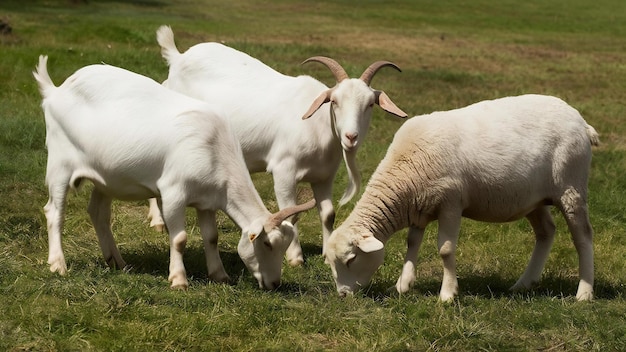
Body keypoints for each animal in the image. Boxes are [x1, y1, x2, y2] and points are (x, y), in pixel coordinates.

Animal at [32, 55, 314, 290]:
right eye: (267, 243)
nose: (274, 283)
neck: (214, 146)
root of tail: (55, 90)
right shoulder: (173, 192)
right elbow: (178, 239)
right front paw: (179, 279)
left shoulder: (207, 200)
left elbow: (211, 237)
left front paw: (220, 275)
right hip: (59, 163)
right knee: (54, 212)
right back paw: (58, 264)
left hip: (106, 178)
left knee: (98, 213)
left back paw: (117, 262)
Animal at [149, 25, 408, 266]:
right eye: (334, 101)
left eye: (370, 104)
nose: (351, 136)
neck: (319, 124)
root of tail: (178, 57)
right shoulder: (284, 170)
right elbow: (291, 216)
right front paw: (295, 258)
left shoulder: (324, 176)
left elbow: (328, 214)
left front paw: (327, 254)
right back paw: (158, 221)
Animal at [324, 94, 596, 302]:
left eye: (351, 259)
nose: (343, 295)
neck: (404, 171)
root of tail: (581, 121)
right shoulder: (420, 206)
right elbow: (412, 242)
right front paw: (403, 285)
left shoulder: (451, 203)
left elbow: (445, 249)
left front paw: (447, 294)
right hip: (532, 197)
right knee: (546, 231)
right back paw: (524, 283)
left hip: (571, 187)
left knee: (583, 237)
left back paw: (584, 293)